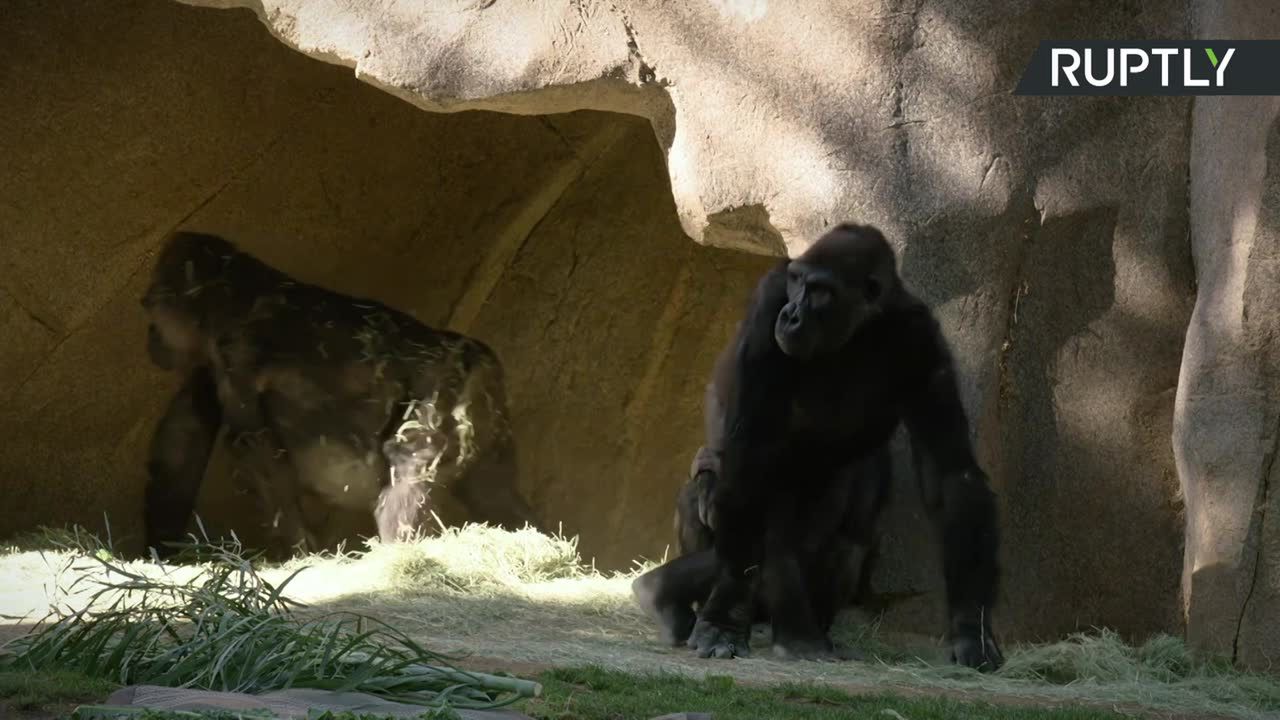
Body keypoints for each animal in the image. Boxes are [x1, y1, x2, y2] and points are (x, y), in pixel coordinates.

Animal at [140, 229, 540, 556]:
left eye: (151, 305)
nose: (151, 336)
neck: (229, 295)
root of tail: (482, 359)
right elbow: (186, 437)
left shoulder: (234, 352)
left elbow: (257, 450)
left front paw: (300, 553)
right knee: (494, 491)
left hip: (449, 390)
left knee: (408, 466)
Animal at [629, 222, 998, 666]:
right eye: (795, 281)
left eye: (821, 290)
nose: (791, 315)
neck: (860, 328)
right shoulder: (769, 299)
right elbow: (751, 454)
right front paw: (723, 619)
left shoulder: (921, 338)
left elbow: (951, 474)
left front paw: (972, 626)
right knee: (726, 498)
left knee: (843, 522)